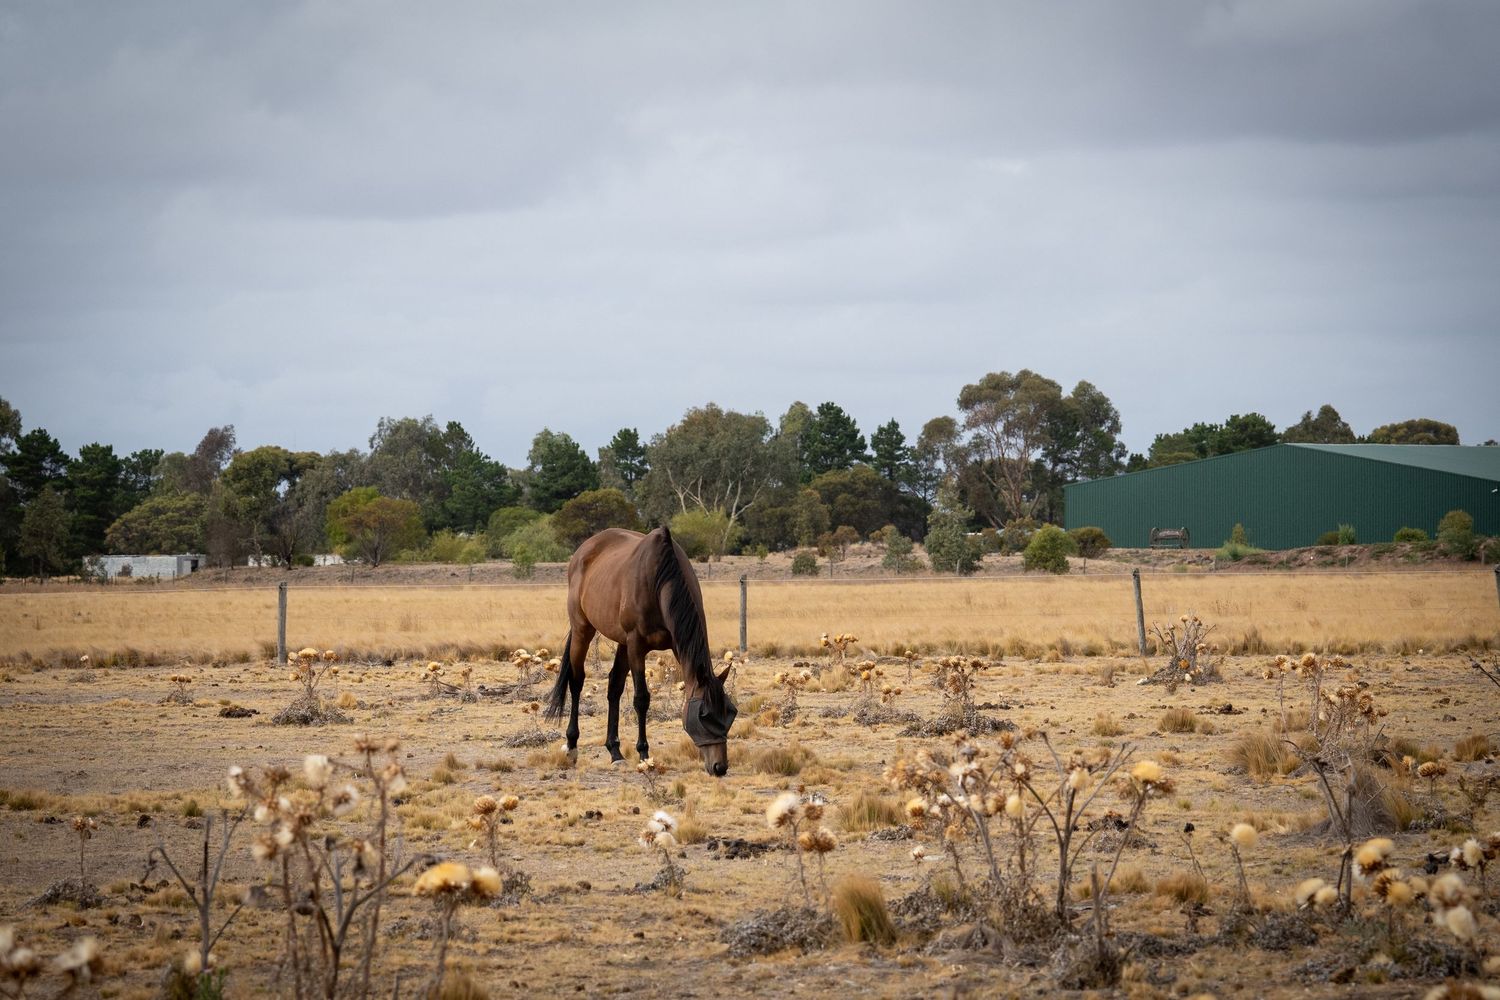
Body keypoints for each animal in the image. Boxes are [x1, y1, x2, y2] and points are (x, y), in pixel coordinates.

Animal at [543, 526, 737, 776]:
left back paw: (615, 752)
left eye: (730, 711)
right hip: (582, 630)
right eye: (704, 714)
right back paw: (572, 745)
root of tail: (583, 550)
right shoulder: (636, 645)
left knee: (614, 685)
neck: (661, 581)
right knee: (576, 681)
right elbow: (641, 699)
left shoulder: (675, 645)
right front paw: (644, 754)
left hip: (621, 642)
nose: (719, 767)